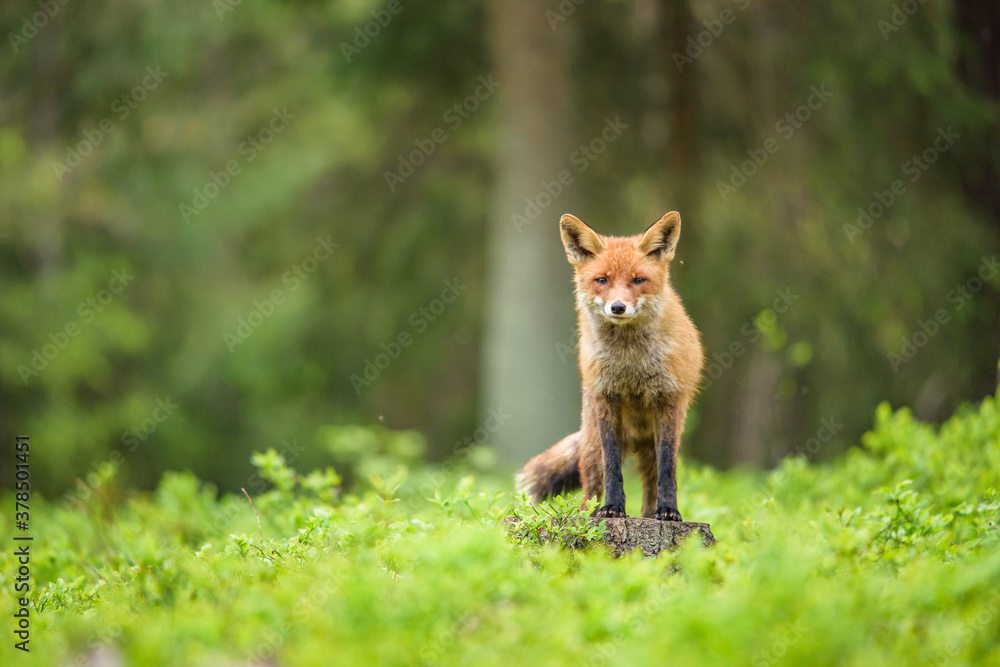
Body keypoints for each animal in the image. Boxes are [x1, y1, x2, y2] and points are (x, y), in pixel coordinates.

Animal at [516, 211, 704, 521]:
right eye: (602, 280)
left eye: (638, 280)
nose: (617, 307)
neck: (631, 363)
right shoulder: (607, 399)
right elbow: (612, 466)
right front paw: (613, 508)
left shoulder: (668, 401)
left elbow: (668, 469)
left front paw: (669, 510)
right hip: (592, 447)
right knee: (589, 491)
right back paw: (589, 517)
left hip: (651, 446)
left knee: (650, 485)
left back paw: (650, 514)